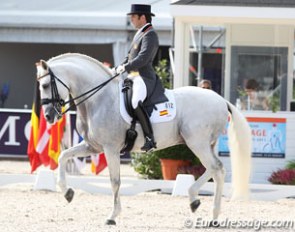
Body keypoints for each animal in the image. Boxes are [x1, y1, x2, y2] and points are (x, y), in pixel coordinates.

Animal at [35, 53, 251, 226]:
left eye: (45, 85)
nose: (48, 116)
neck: (99, 99)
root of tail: (221, 100)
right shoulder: (92, 146)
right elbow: (63, 156)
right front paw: (67, 192)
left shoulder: (111, 148)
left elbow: (115, 181)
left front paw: (112, 216)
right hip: (205, 144)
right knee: (215, 169)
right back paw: (198, 203)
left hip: (197, 142)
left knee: (216, 168)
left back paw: (207, 210)